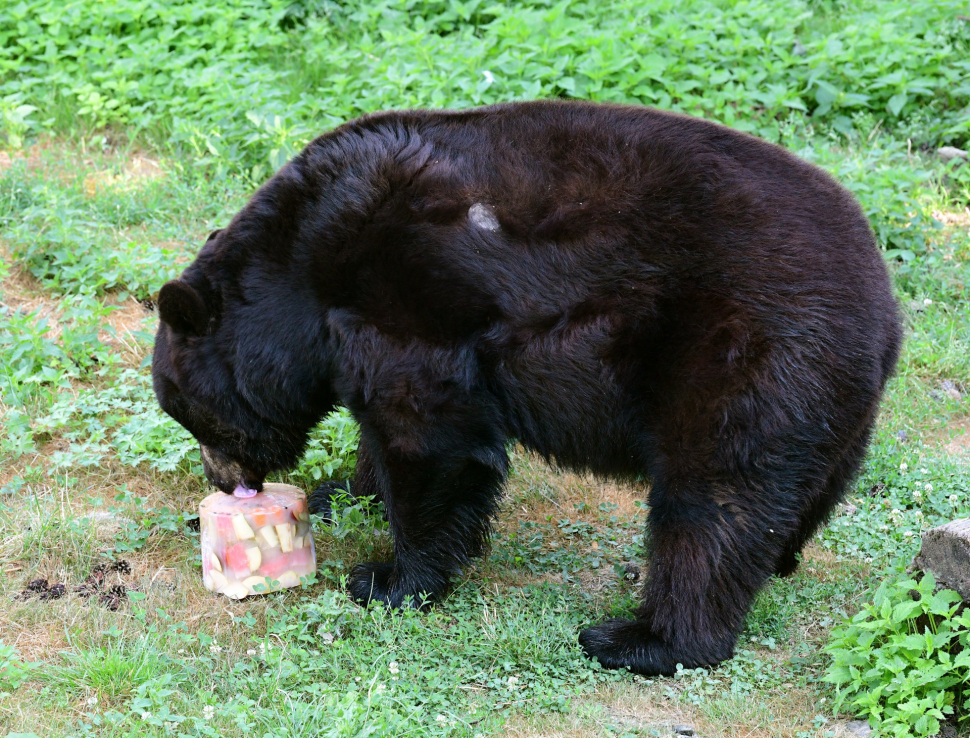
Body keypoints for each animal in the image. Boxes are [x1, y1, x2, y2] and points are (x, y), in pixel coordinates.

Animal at [151, 100, 900, 676]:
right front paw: (346, 492)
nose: (223, 483)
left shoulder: (408, 303)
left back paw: (640, 639)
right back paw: (778, 559)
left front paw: (389, 580)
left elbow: (429, 436)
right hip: (829, 404)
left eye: (192, 417)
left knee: (712, 502)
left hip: (740, 354)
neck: (305, 260)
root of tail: (885, 308)